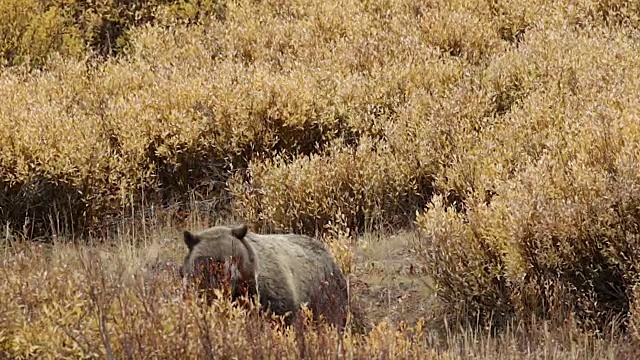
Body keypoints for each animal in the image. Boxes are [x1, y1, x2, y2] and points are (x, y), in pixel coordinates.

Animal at [180, 224, 350, 330]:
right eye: (210, 260)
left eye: (234, 257)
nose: (227, 276)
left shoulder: (270, 293)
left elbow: (280, 315)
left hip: (325, 292)